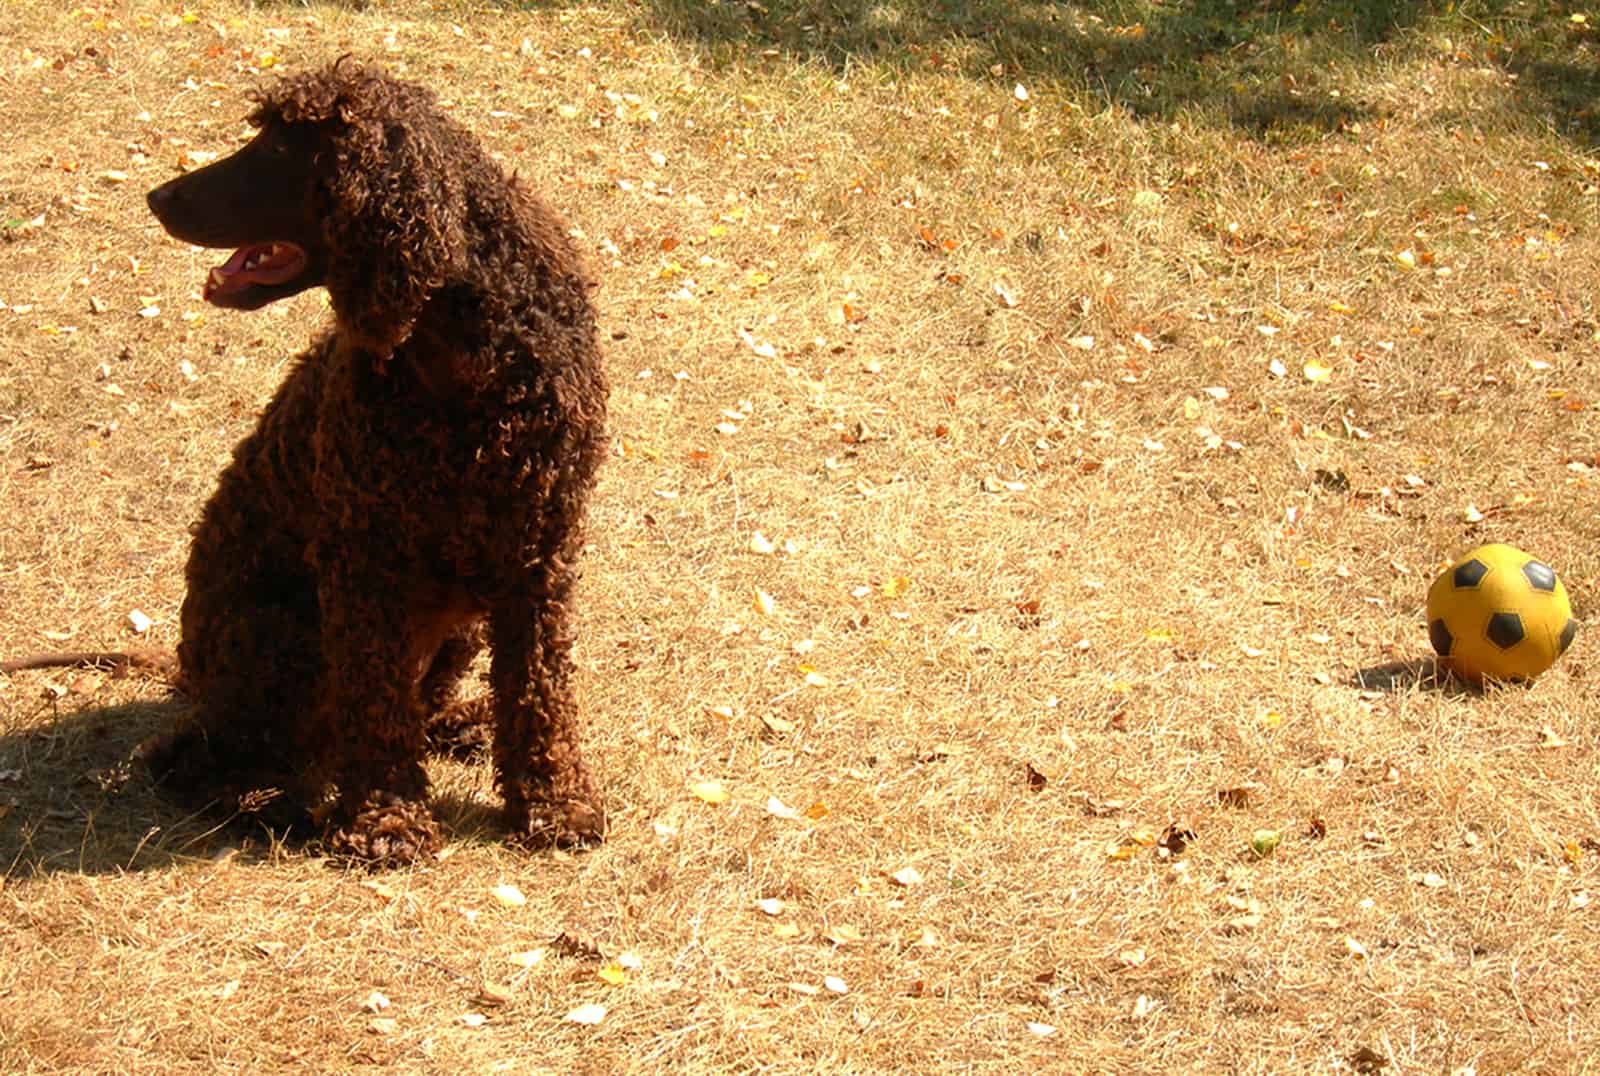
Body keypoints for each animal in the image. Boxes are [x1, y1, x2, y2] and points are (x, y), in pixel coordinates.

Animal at [144, 58, 608, 864]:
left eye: (277, 150)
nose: (158, 197)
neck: (468, 354)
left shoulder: (540, 549)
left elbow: (540, 688)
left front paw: (555, 804)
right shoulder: (365, 554)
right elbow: (376, 695)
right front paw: (387, 820)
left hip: (461, 621)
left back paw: (459, 726)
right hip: (283, 631)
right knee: (224, 757)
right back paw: (279, 803)